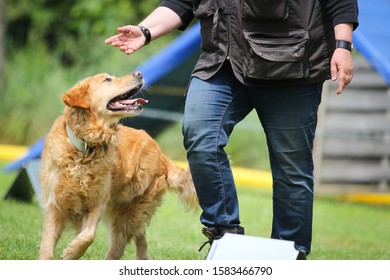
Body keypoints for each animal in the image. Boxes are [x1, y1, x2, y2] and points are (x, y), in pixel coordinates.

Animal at [38, 72, 198, 260]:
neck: (86, 148)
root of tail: (162, 154)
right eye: (107, 79)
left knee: (119, 247)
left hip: (127, 214)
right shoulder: (54, 203)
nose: (139, 73)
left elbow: (88, 236)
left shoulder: (97, 204)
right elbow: (48, 246)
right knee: (140, 237)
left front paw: (71, 252)